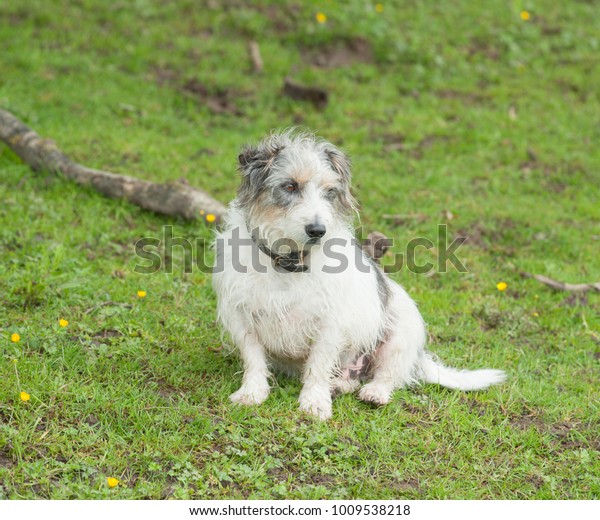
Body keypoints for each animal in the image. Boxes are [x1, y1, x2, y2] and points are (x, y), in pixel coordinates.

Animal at [212, 130, 506, 418]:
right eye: (291, 186)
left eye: (329, 191)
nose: (318, 230)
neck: (289, 262)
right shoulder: (241, 316)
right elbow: (253, 359)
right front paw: (252, 392)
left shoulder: (329, 322)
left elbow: (318, 364)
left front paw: (315, 401)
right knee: (353, 378)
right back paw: (340, 384)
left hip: (400, 335)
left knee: (389, 375)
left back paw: (374, 392)